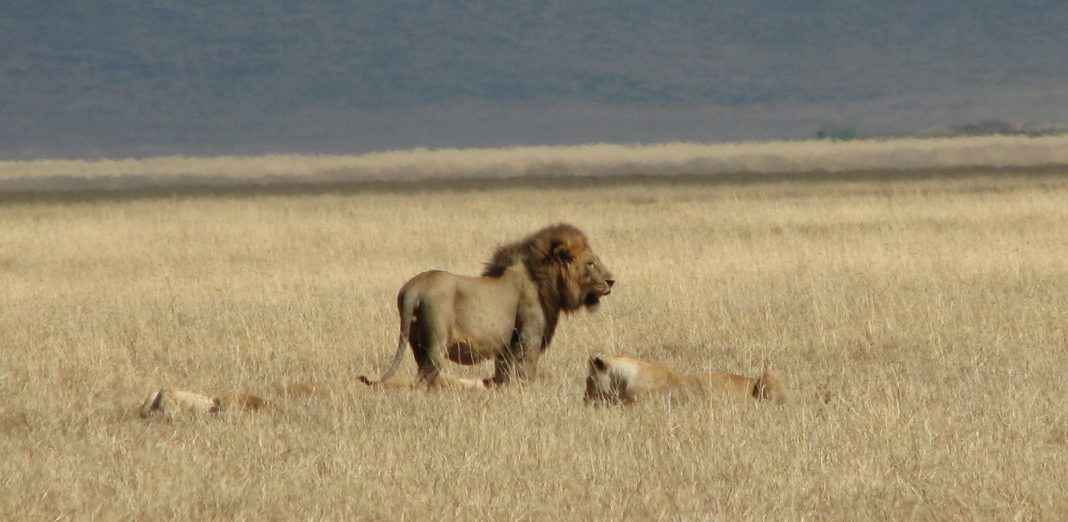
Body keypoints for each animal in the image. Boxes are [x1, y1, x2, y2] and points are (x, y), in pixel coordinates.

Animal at [360, 223, 614, 390]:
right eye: (590, 263)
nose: (612, 281)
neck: (542, 279)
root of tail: (412, 289)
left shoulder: (507, 346)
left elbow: (503, 374)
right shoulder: (528, 337)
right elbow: (527, 371)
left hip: (415, 342)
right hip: (436, 344)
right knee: (423, 379)